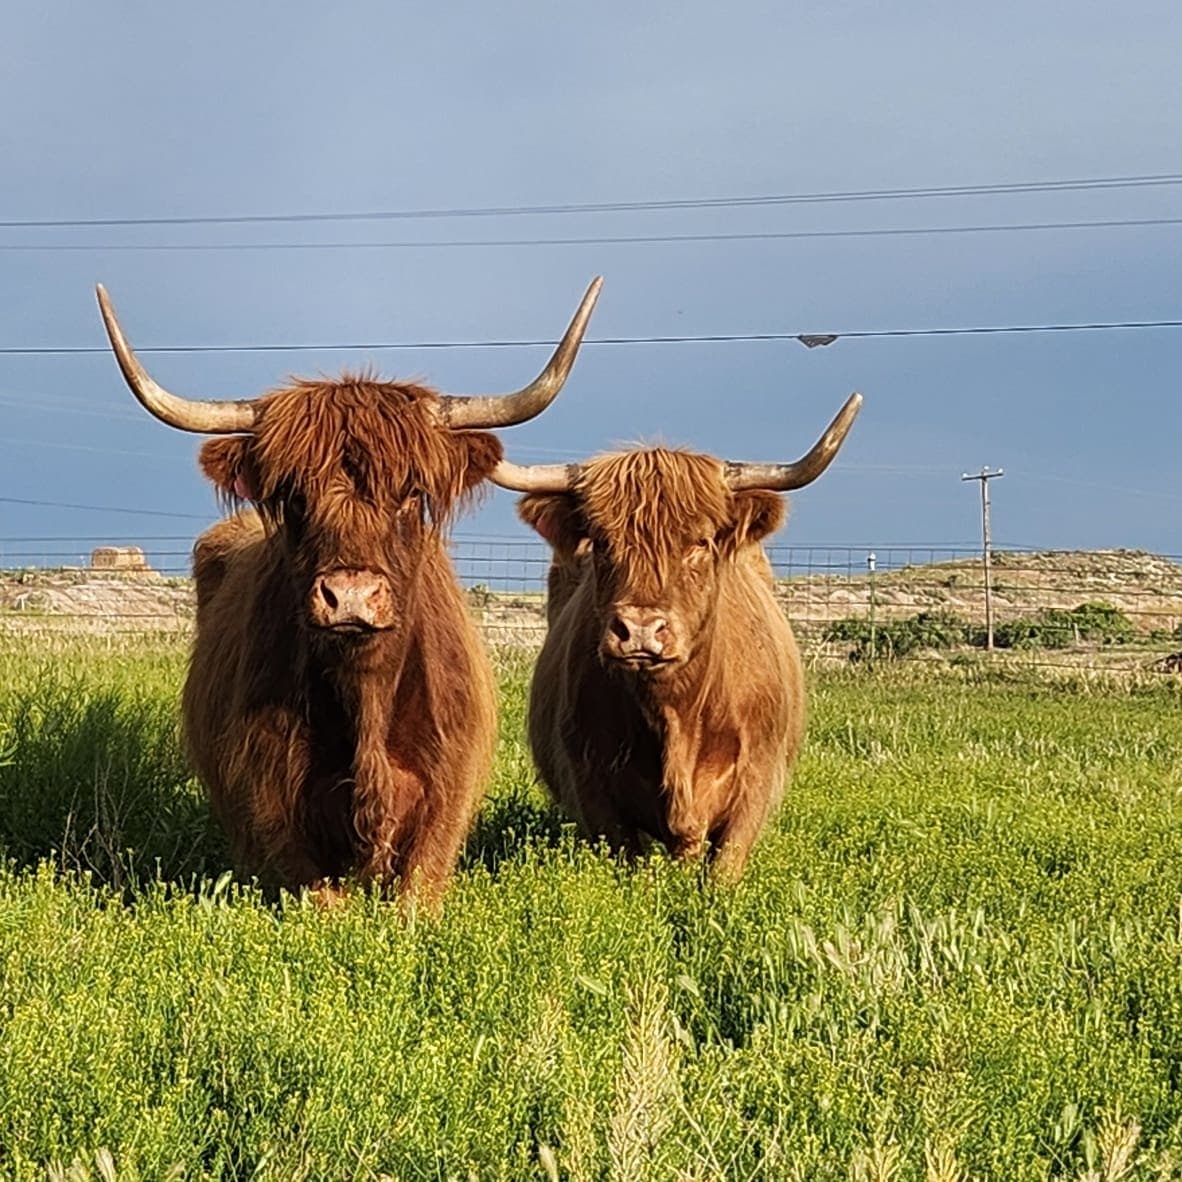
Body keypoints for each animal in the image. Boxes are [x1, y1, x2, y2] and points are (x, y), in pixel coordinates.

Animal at [495, 393, 861, 879]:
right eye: (602, 542)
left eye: (700, 543)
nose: (640, 630)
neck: (675, 718)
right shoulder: (591, 786)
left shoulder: (756, 783)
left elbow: (723, 869)